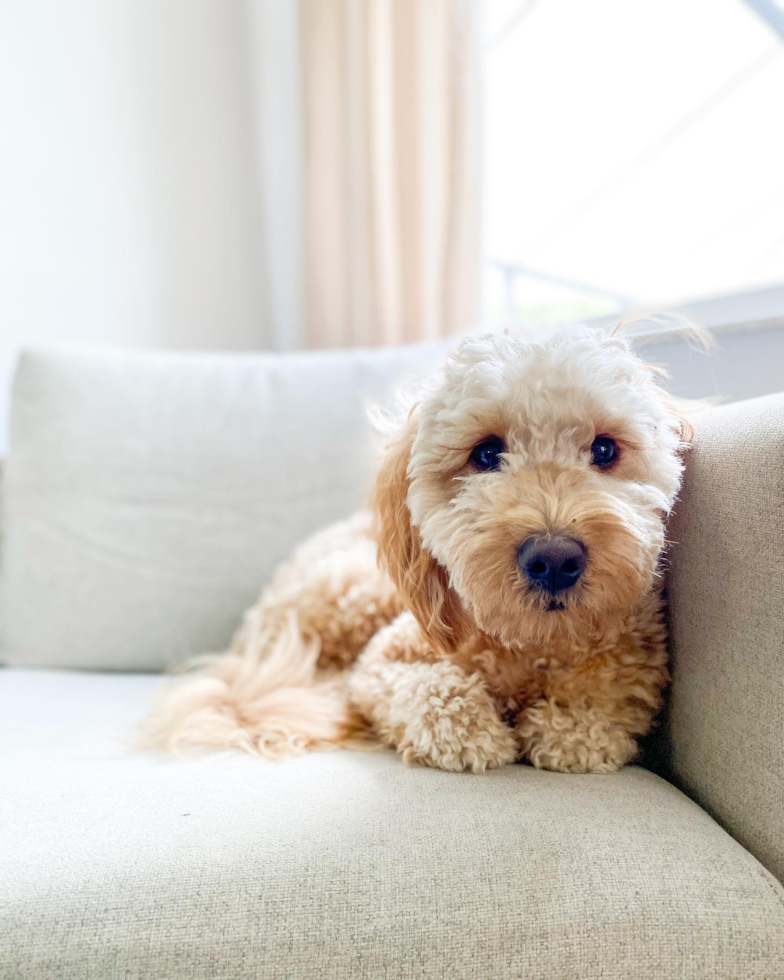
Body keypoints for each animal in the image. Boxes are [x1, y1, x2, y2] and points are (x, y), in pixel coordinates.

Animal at [145, 330, 692, 772]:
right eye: (486, 454)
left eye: (604, 449)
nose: (554, 559)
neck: (534, 645)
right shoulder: (385, 660)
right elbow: (426, 689)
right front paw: (470, 731)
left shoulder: (626, 676)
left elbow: (590, 725)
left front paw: (568, 727)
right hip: (353, 593)